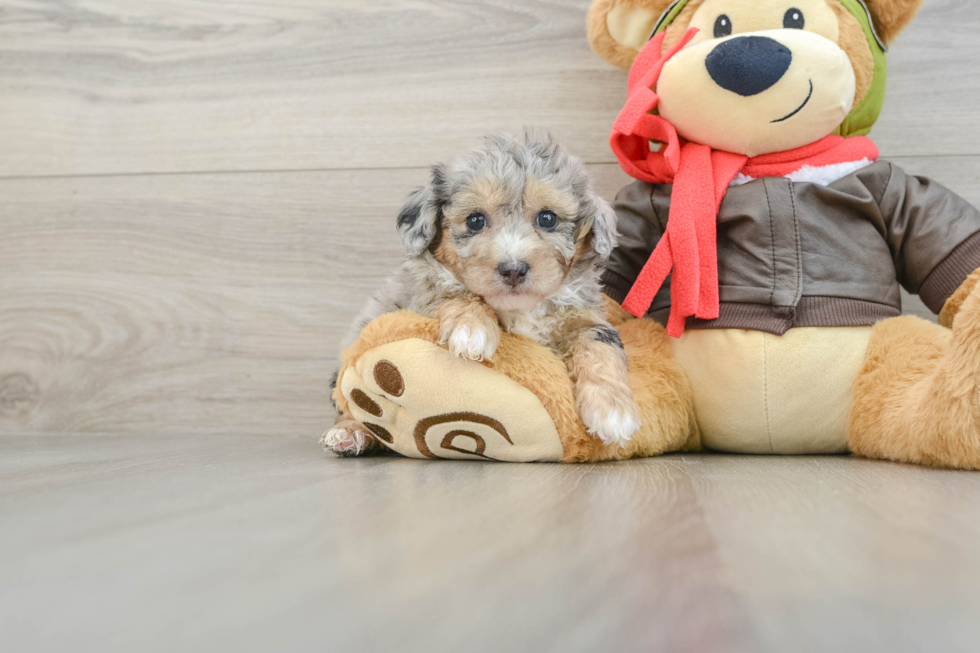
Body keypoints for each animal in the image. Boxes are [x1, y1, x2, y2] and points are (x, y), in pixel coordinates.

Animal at [324, 132, 644, 456]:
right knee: (349, 404)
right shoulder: (421, 290)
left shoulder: (584, 316)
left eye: (548, 218)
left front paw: (613, 412)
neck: (520, 308)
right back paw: (350, 433)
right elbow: (456, 292)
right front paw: (471, 329)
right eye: (475, 220)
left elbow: (601, 347)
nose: (513, 270)